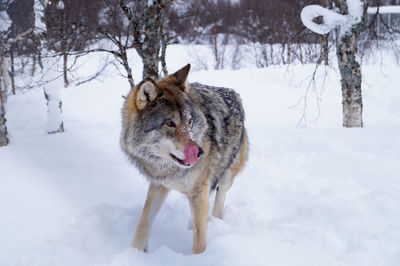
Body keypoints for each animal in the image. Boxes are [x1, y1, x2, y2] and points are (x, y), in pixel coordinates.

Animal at [120, 64, 248, 254]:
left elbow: (199, 242)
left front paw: (201, 258)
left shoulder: (198, 191)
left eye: (189, 121)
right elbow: (144, 219)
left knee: (220, 196)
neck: (166, 167)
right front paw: (134, 252)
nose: (200, 152)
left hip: (227, 175)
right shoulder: (159, 184)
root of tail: (233, 93)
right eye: (169, 123)